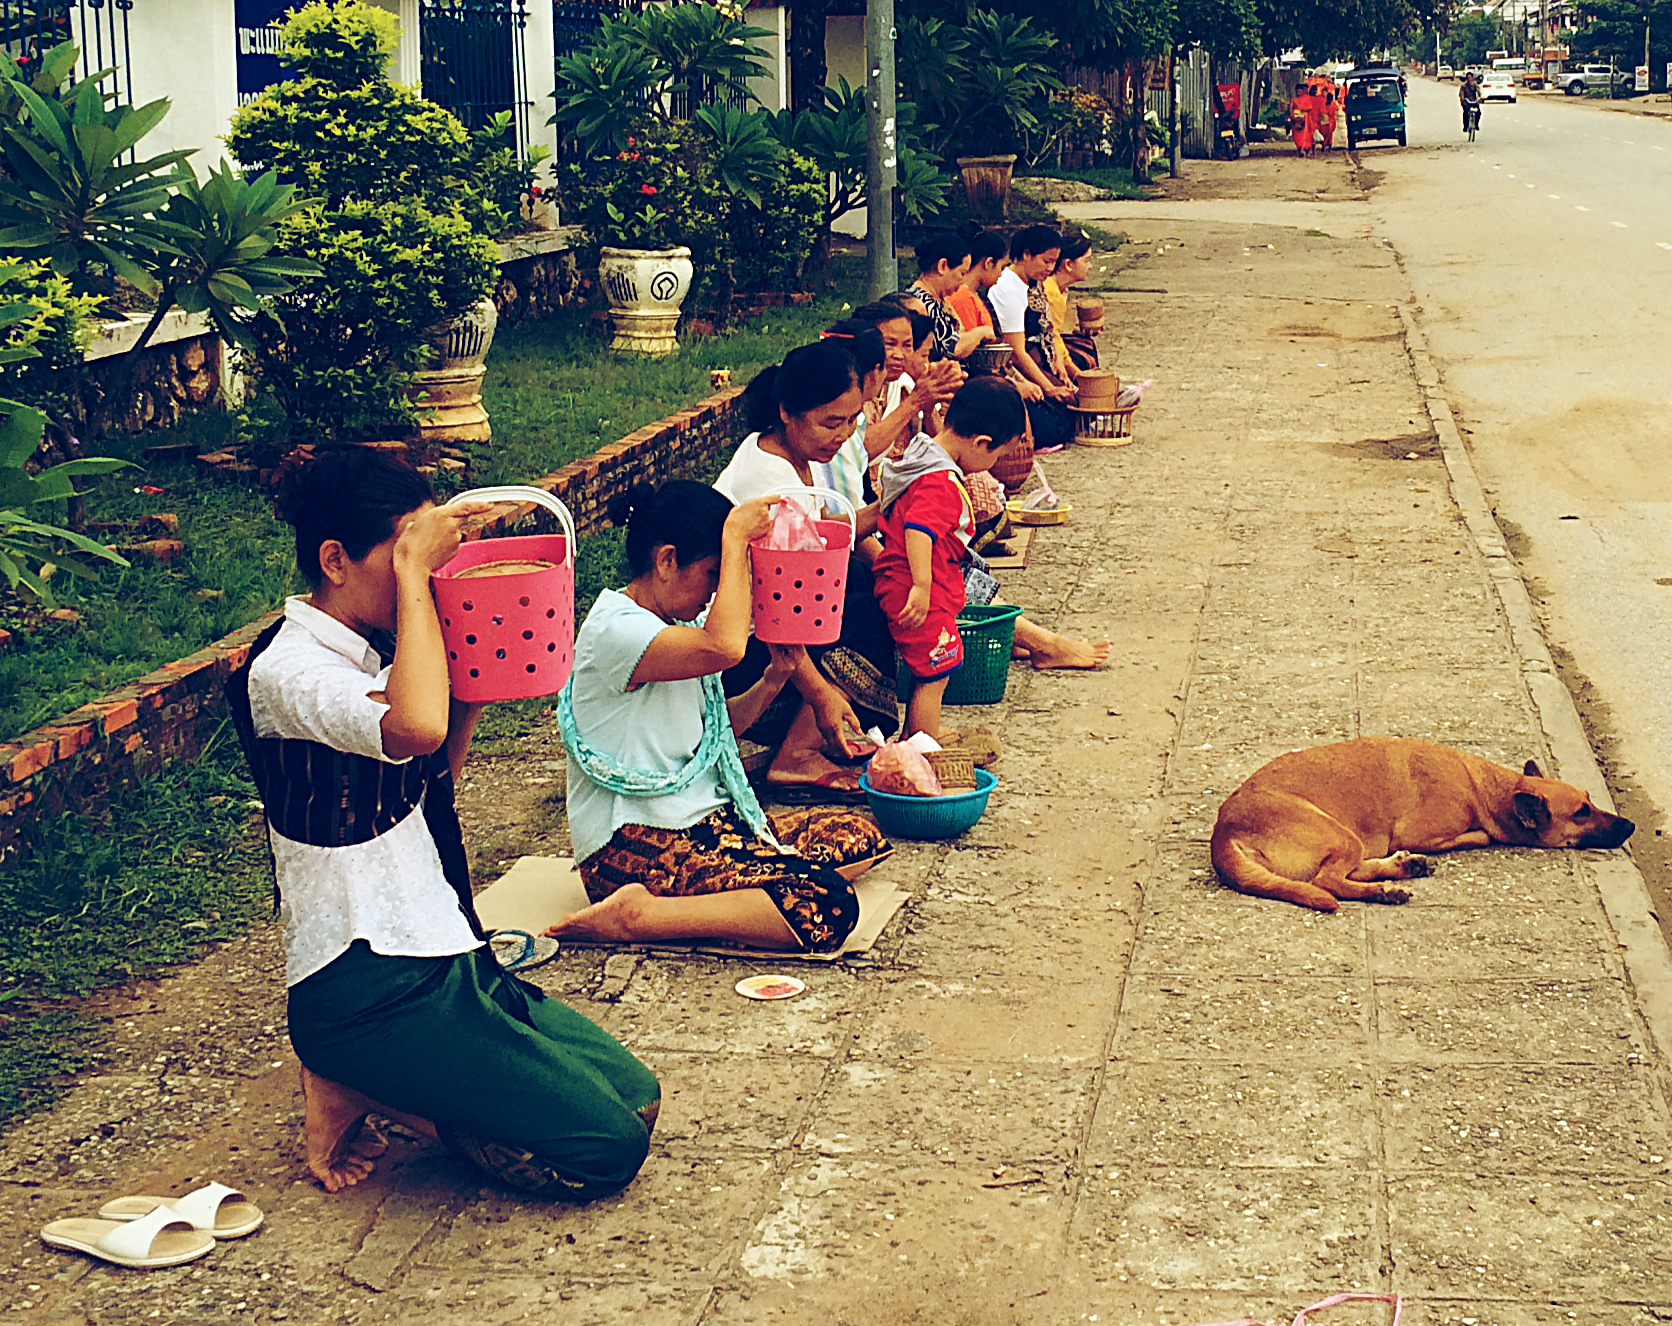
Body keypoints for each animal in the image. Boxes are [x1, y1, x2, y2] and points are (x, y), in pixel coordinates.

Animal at [1210, 735, 1638, 909]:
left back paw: (1401, 869)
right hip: (1340, 834)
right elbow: (1483, 836)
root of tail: (1223, 831)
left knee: (1345, 872)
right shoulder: (1421, 832)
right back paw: (1384, 890)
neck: (1484, 783)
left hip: (1349, 839)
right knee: (1327, 882)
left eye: (1589, 800)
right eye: (1581, 813)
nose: (1630, 826)